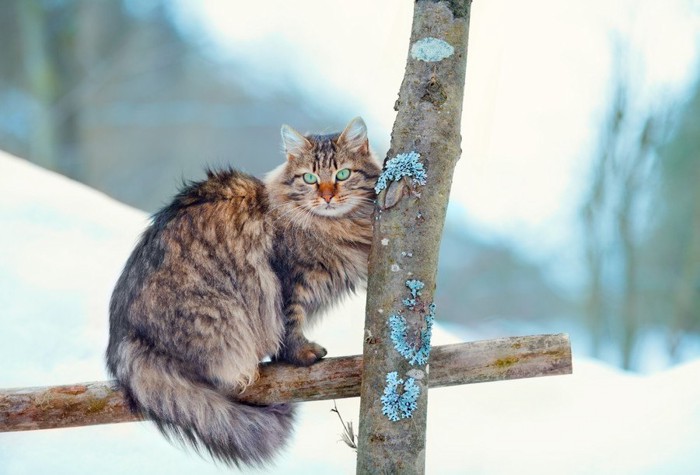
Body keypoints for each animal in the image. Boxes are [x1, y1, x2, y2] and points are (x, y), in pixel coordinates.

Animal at [106, 117, 382, 466]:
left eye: (342, 175)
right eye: (310, 178)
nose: (328, 197)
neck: (335, 227)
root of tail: (122, 337)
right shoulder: (288, 280)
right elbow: (290, 327)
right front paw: (302, 354)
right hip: (218, 314)